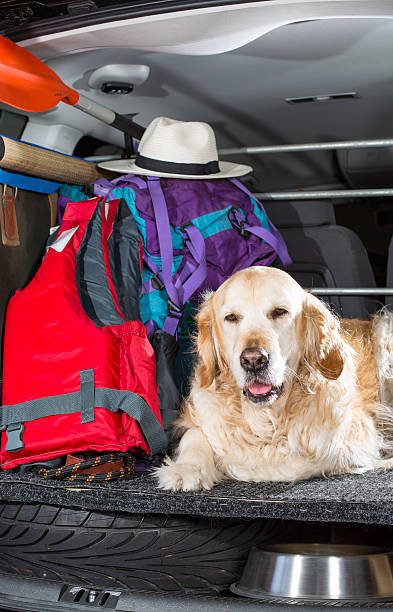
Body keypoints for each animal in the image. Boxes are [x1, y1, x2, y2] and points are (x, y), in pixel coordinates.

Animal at [155, 266, 392, 490]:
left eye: (280, 312)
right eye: (231, 317)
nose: (253, 360)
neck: (266, 417)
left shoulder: (349, 438)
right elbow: (194, 435)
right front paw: (188, 468)